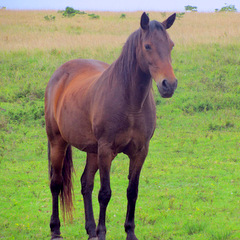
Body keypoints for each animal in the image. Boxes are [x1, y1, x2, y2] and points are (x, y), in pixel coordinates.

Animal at [44, 11, 176, 240]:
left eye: (171, 45)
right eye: (148, 46)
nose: (169, 84)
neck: (131, 103)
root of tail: (59, 75)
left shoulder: (140, 152)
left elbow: (132, 191)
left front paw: (129, 232)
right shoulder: (106, 150)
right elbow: (105, 193)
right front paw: (103, 232)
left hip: (92, 150)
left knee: (86, 183)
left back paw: (90, 230)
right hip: (58, 142)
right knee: (56, 183)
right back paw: (56, 230)